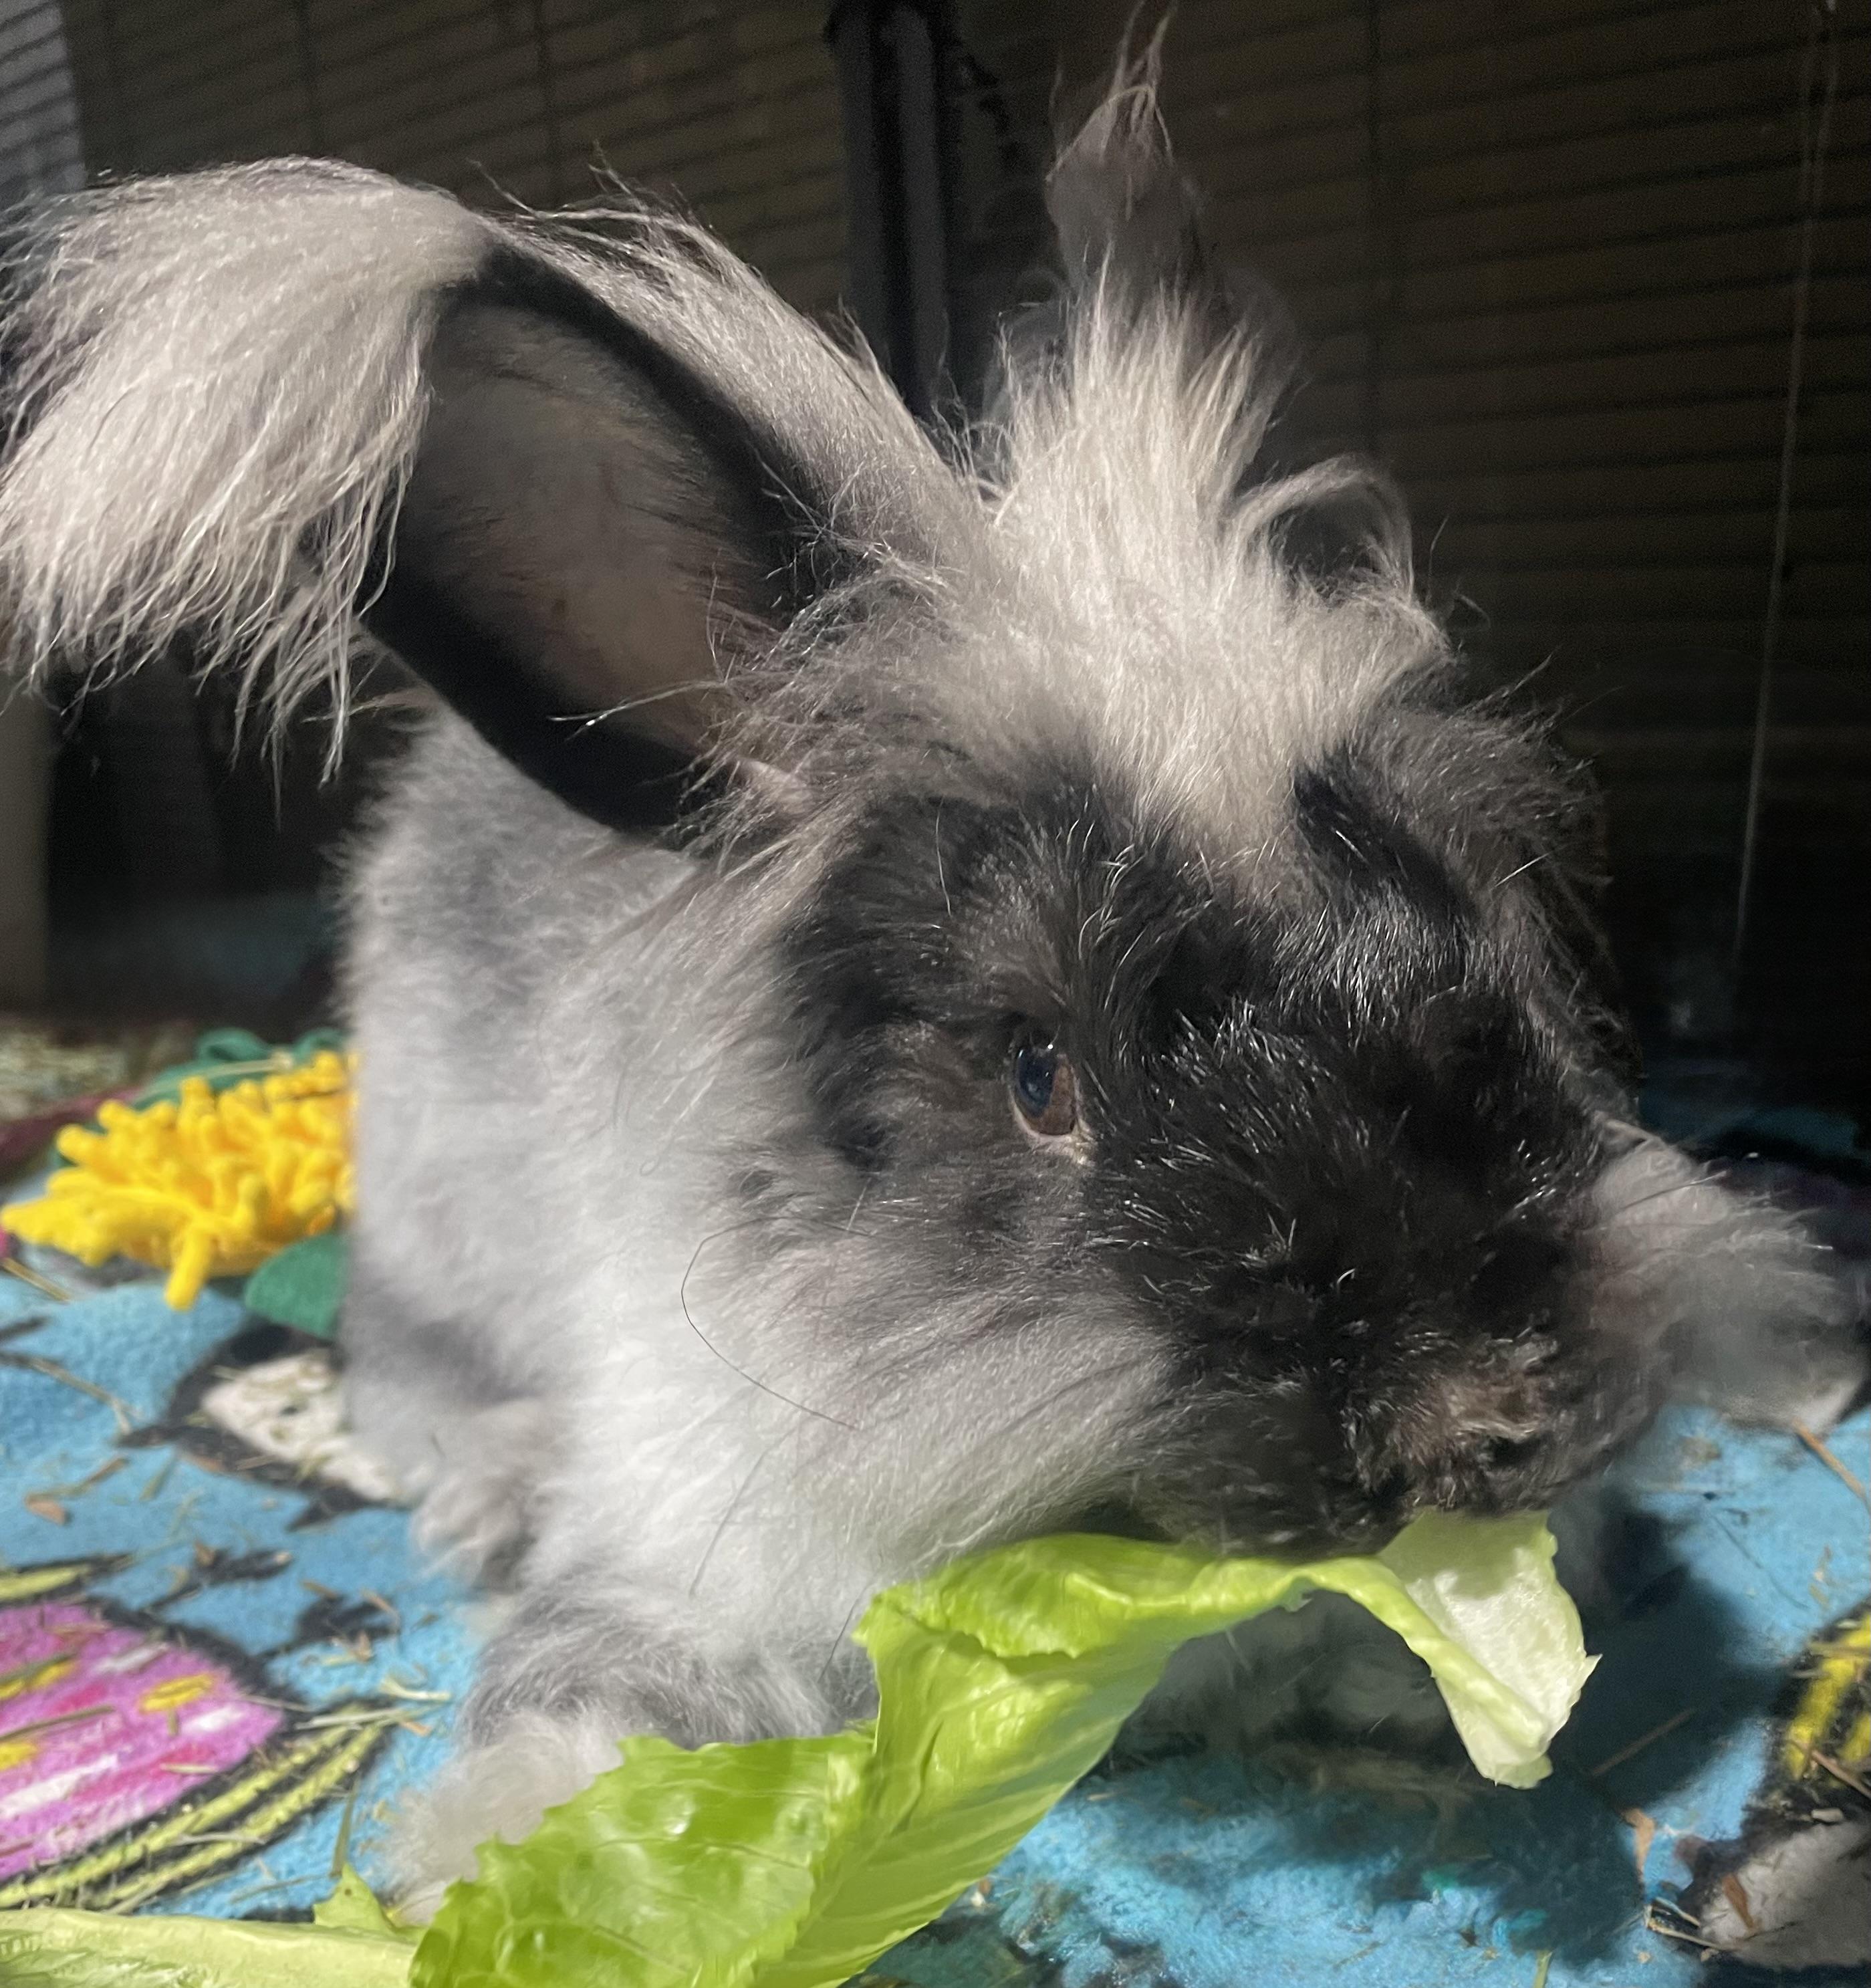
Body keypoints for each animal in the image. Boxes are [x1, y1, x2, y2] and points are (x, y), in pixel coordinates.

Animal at [0, 63, 1861, 1906]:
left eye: (1473, 936)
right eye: (1038, 1075)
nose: (1497, 1418)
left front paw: (1417, 1669)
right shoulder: (681, 1538)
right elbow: (594, 1671)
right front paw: (519, 1846)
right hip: (433, 1206)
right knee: (391, 1356)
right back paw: (481, 1486)